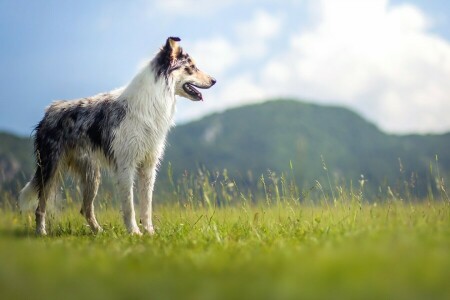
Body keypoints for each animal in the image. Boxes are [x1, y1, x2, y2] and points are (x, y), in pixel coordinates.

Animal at [20, 37, 217, 234]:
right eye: (191, 67)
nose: (214, 80)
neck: (153, 100)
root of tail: (49, 110)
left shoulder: (148, 166)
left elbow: (146, 206)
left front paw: (150, 233)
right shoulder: (126, 165)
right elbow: (129, 206)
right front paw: (135, 233)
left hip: (92, 175)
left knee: (85, 208)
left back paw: (98, 232)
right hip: (50, 170)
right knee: (40, 207)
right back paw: (41, 232)